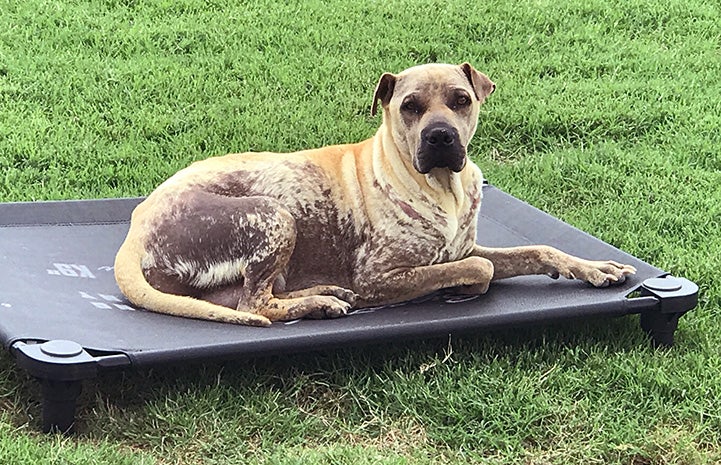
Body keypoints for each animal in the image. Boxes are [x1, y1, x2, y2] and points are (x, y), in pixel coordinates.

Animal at [114, 62, 636, 326]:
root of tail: (136, 228)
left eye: (462, 100)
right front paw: (457, 286)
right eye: (409, 107)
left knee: (247, 297)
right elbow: (479, 270)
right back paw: (321, 303)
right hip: (273, 214)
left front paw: (595, 267)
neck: (440, 188)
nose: (441, 136)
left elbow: (539, 249)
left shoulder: (467, 245)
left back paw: (324, 292)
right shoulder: (382, 274)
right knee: (255, 304)